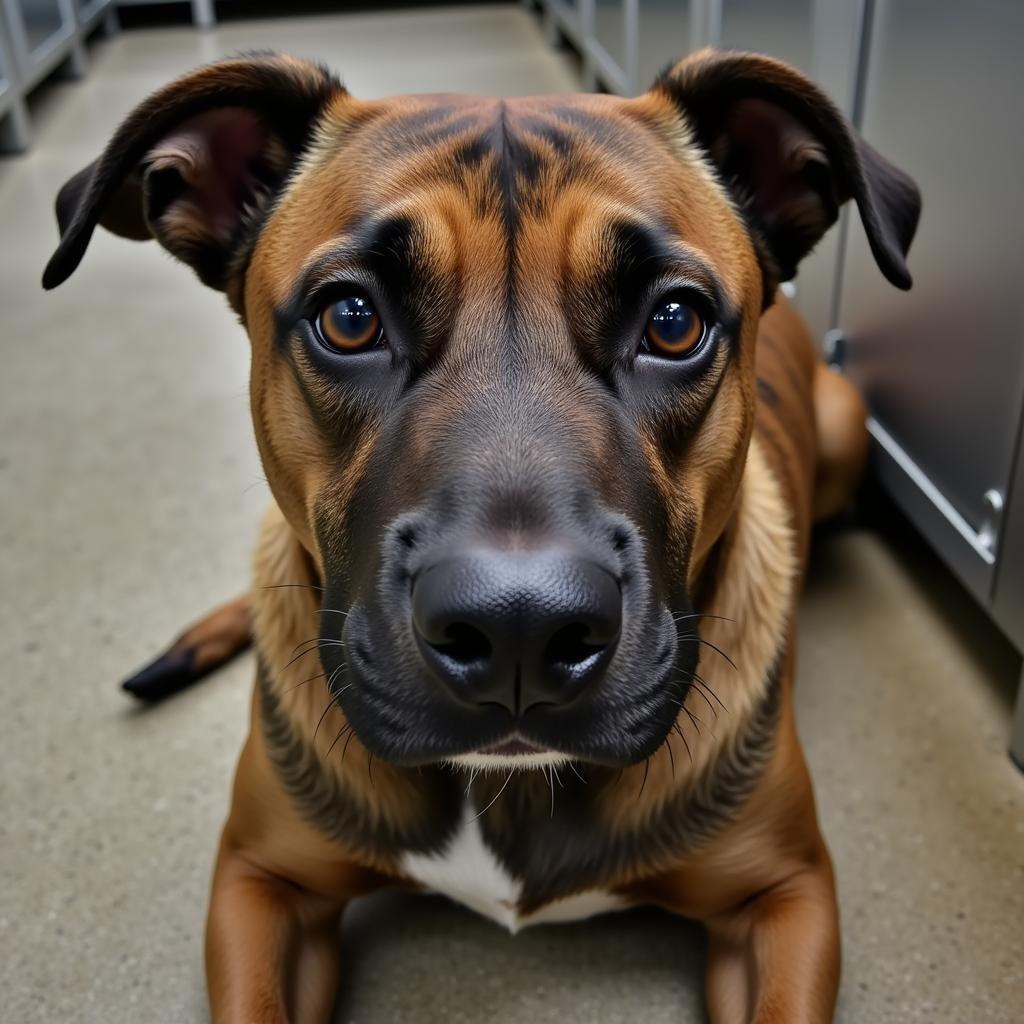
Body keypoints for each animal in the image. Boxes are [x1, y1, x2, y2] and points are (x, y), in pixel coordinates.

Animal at [41, 49, 921, 1024]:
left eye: (675, 322)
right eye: (349, 316)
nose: (520, 631)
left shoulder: (787, 896)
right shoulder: (258, 882)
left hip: (850, 427)